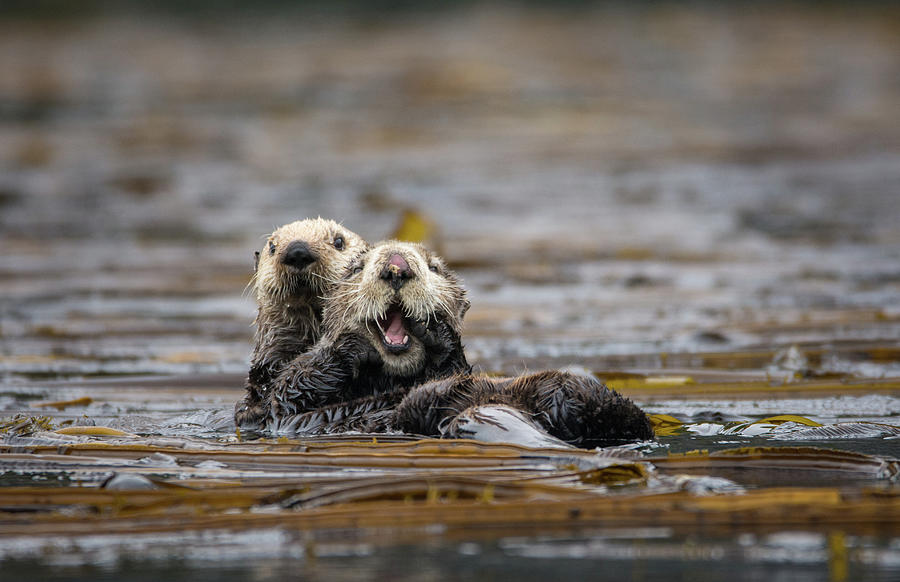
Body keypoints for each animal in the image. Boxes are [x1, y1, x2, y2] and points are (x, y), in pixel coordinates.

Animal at [262, 240, 472, 436]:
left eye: (434, 268)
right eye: (357, 268)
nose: (397, 267)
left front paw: (435, 331)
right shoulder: (288, 394)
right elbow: (287, 395)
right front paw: (352, 347)